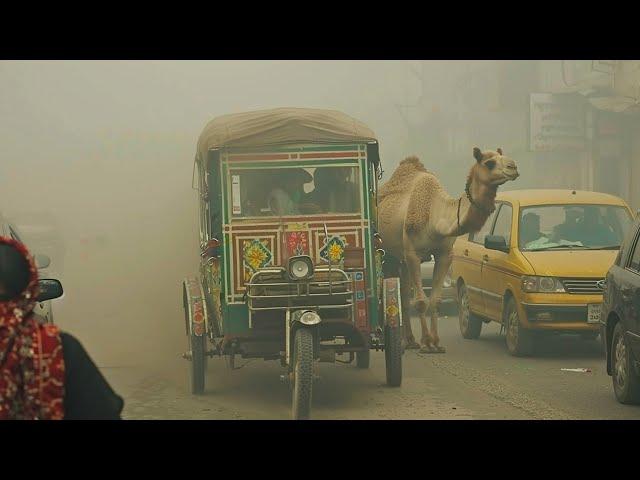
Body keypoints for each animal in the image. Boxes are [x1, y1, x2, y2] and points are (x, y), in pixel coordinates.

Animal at [380, 146, 520, 352]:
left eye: (503, 156)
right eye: (489, 163)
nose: (513, 167)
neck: (435, 217)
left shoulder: (445, 254)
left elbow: (435, 300)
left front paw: (435, 342)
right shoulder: (413, 254)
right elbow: (420, 301)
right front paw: (426, 343)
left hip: (401, 258)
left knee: (404, 294)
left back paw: (410, 340)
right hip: (388, 254)